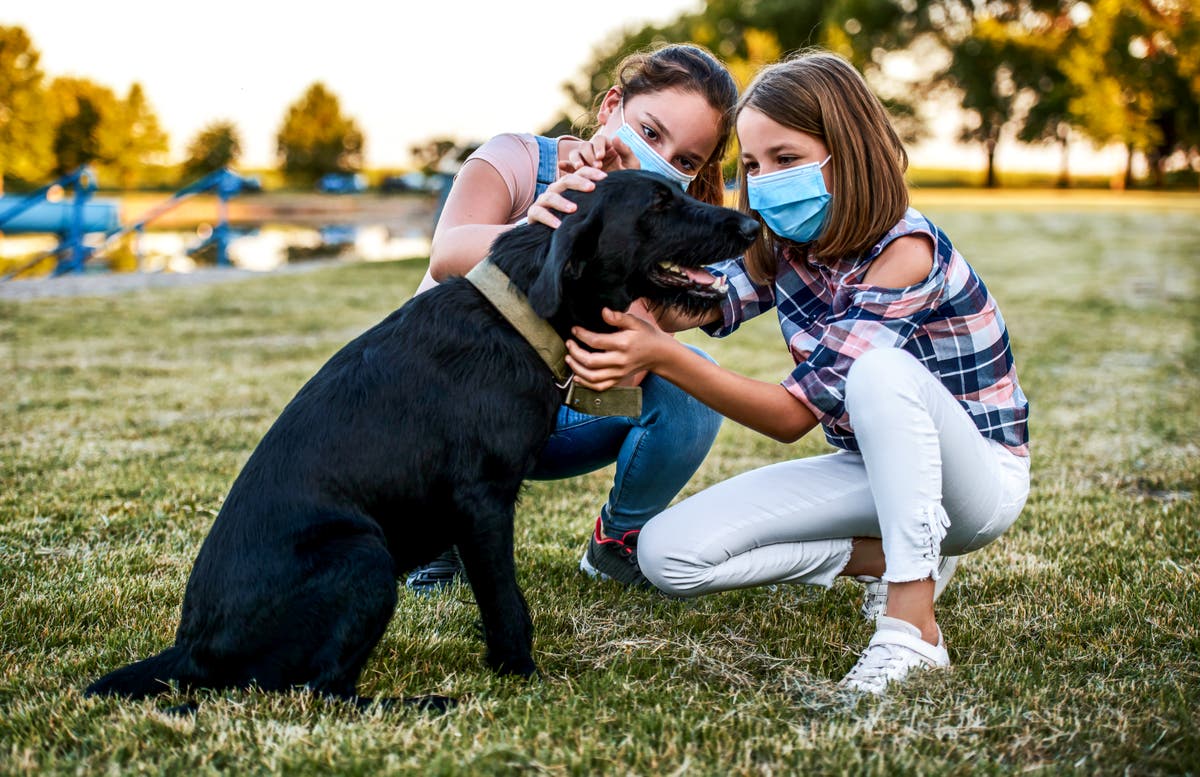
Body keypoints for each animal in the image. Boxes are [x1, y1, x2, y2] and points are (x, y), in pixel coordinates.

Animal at [87, 171, 758, 709]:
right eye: (658, 203)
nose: (753, 225)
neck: (518, 318)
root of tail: (190, 651)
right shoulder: (482, 503)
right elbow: (505, 601)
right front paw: (520, 673)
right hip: (364, 557)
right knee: (324, 692)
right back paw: (424, 703)